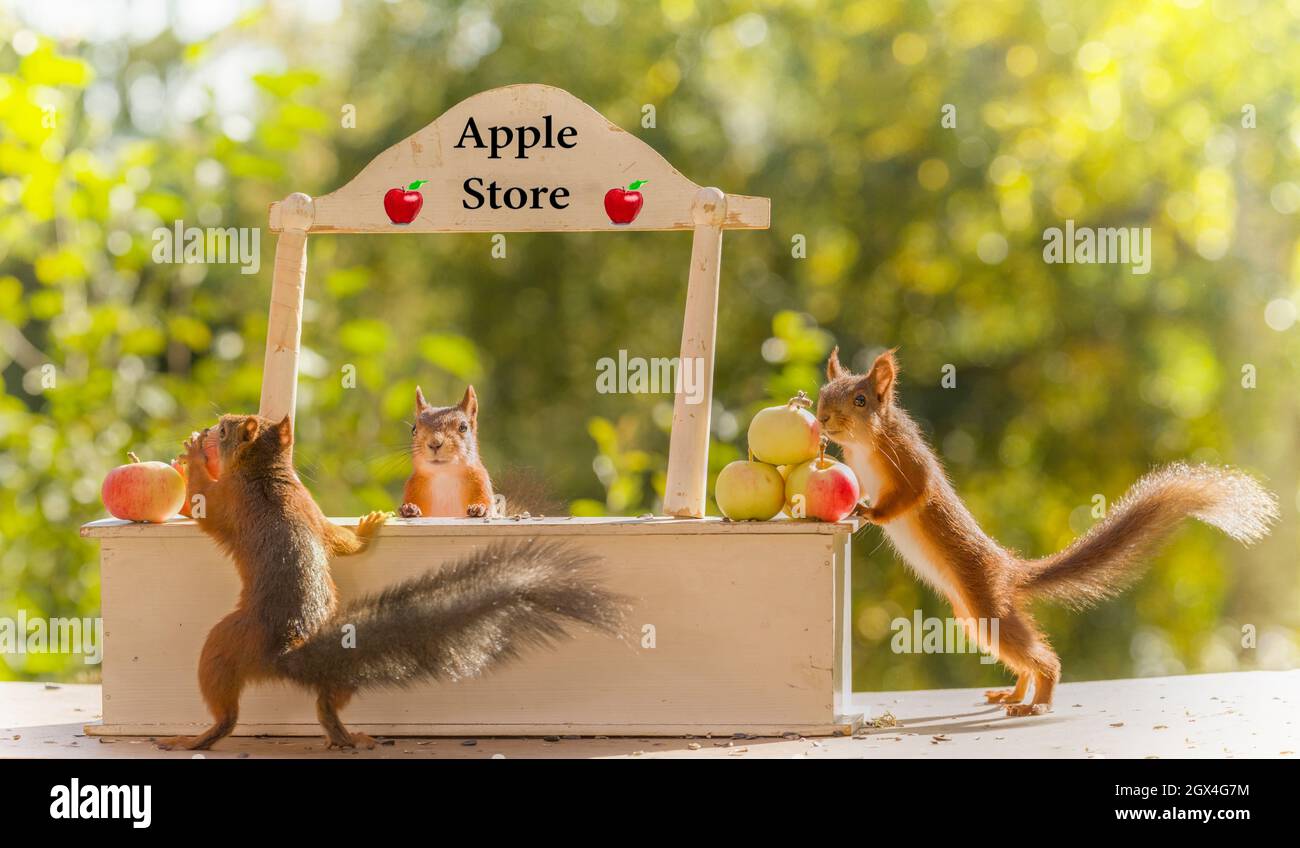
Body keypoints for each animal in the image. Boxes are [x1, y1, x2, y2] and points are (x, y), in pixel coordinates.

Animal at [159, 412, 623, 751]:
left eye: (225, 428)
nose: (209, 428)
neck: (265, 471)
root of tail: (290, 649)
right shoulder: (312, 510)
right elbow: (338, 540)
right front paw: (368, 527)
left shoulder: (225, 499)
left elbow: (202, 502)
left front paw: (193, 455)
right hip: (341, 677)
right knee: (328, 700)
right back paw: (346, 737)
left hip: (224, 643)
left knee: (228, 715)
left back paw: (194, 739)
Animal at [399, 386, 496, 519]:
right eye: (414, 430)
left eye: (463, 427)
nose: (434, 443)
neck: (445, 475)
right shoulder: (413, 487)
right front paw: (409, 508)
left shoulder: (480, 481)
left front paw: (479, 507)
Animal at [817, 347, 1278, 716]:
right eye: (823, 394)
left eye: (860, 400)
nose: (821, 419)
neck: (864, 445)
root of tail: (1008, 569)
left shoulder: (909, 462)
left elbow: (912, 494)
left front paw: (869, 511)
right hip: (974, 616)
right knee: (1022, 655)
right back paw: (1014, 694)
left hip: (984, 604)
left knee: (1043, 659)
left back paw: (1036, 703)